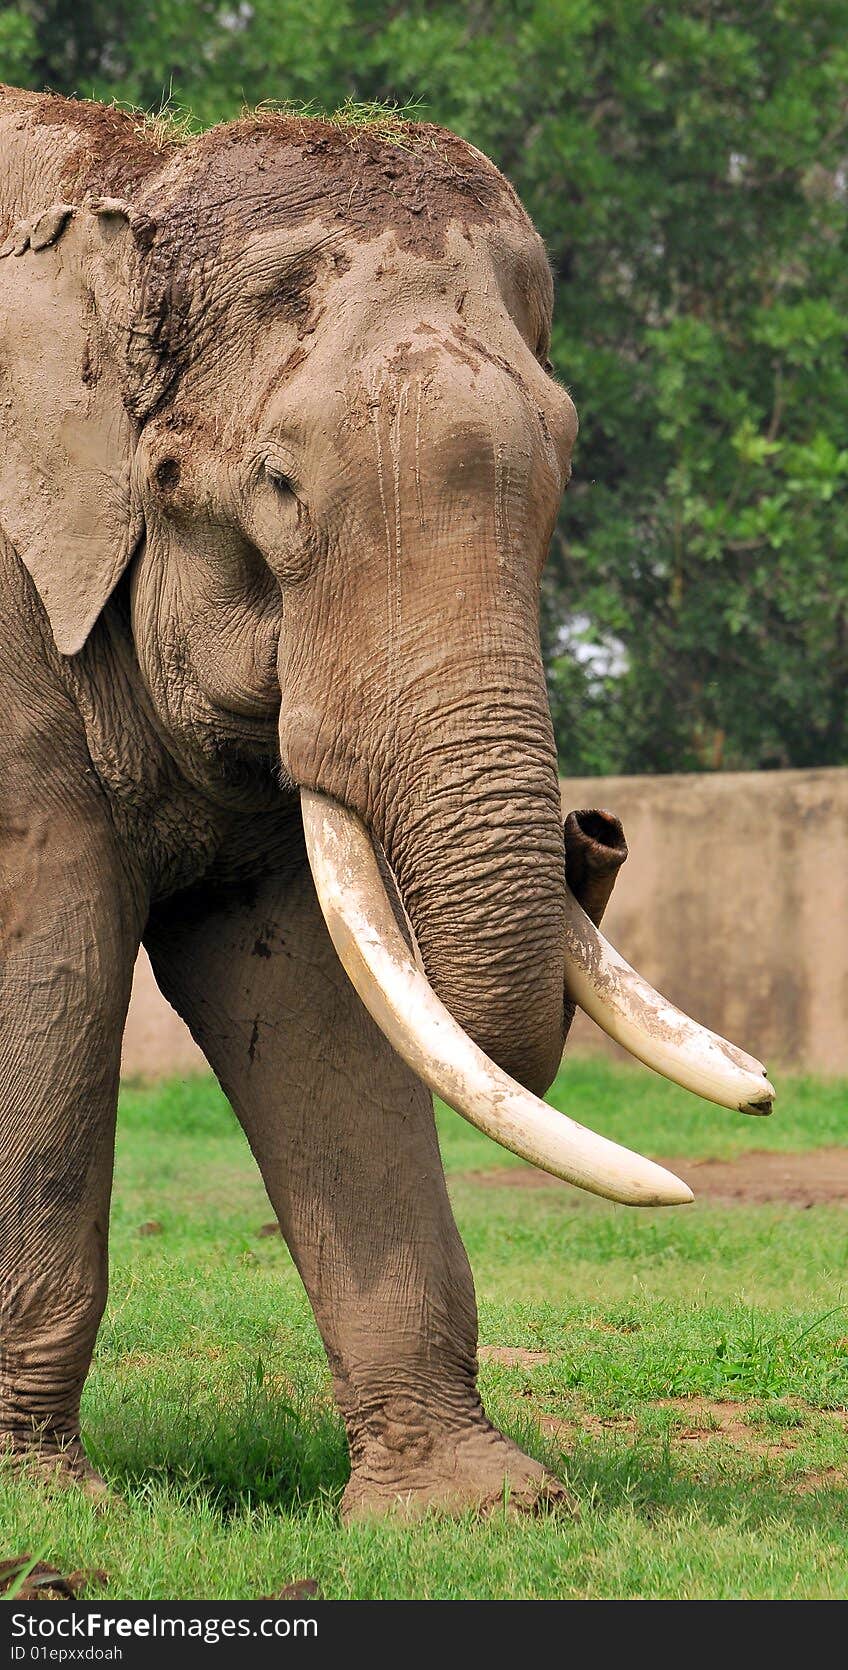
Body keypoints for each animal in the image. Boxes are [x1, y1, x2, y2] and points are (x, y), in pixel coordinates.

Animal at [0, 84, 771, 1523]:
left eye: (560, 477)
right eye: (272, 487)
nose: (597, 833)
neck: (130, 193)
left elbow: (317, 995)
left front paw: (474, 1507)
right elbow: (47, 952)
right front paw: (48, 1508)